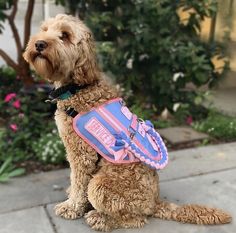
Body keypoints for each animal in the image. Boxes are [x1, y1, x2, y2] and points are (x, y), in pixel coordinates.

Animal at [23, 14, 230, 231]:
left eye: (65, 35)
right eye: (45, 29)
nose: (39, 43)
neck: (78, 87)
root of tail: (155, 202)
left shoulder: (81, 154)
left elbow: (79, 182)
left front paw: (72, 206)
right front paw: (72, 196)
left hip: (101, 184)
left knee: (134, 219)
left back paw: (101, 218)